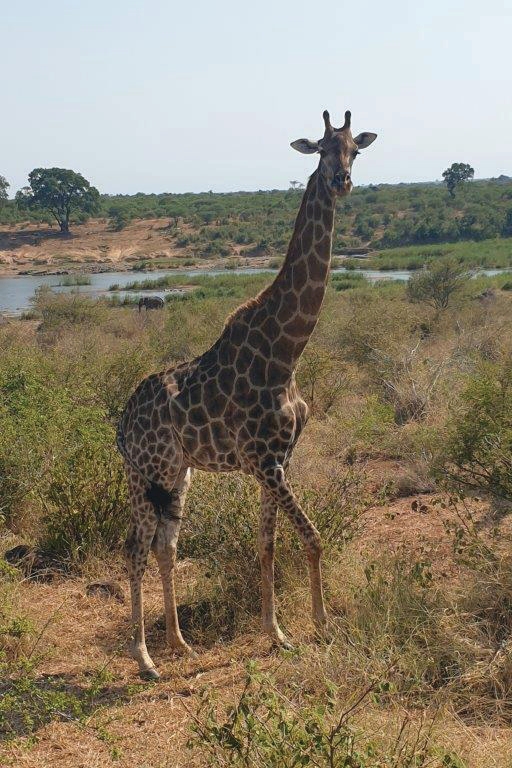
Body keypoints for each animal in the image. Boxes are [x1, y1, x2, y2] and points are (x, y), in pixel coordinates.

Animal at [117, 108, 377, 679]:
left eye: (355, 149)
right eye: (322, 148)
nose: (341, 181)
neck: (287, 351)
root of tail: (120, 426)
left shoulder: (277, 460)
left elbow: (267, 545)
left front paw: (275, 632)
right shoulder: (264, 460)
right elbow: (312, 537)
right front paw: (321, 624)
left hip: (178, 473)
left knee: (166, 547)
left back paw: (180, 643)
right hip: (145, 473)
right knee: (136, 550)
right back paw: (146, 659)